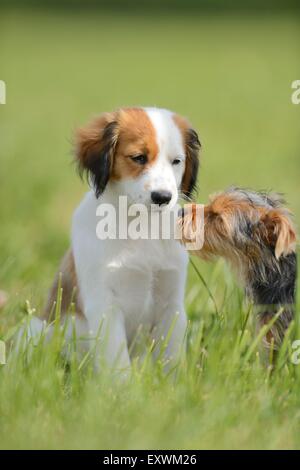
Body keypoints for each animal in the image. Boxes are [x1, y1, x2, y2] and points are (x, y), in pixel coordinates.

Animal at [38, 107, 200, 370]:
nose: (163, 197)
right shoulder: (105, 306)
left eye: (177, 161)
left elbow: (170, 359)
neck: (140, 227)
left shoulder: (172, 304)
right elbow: (117, 363)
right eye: (139, 157)